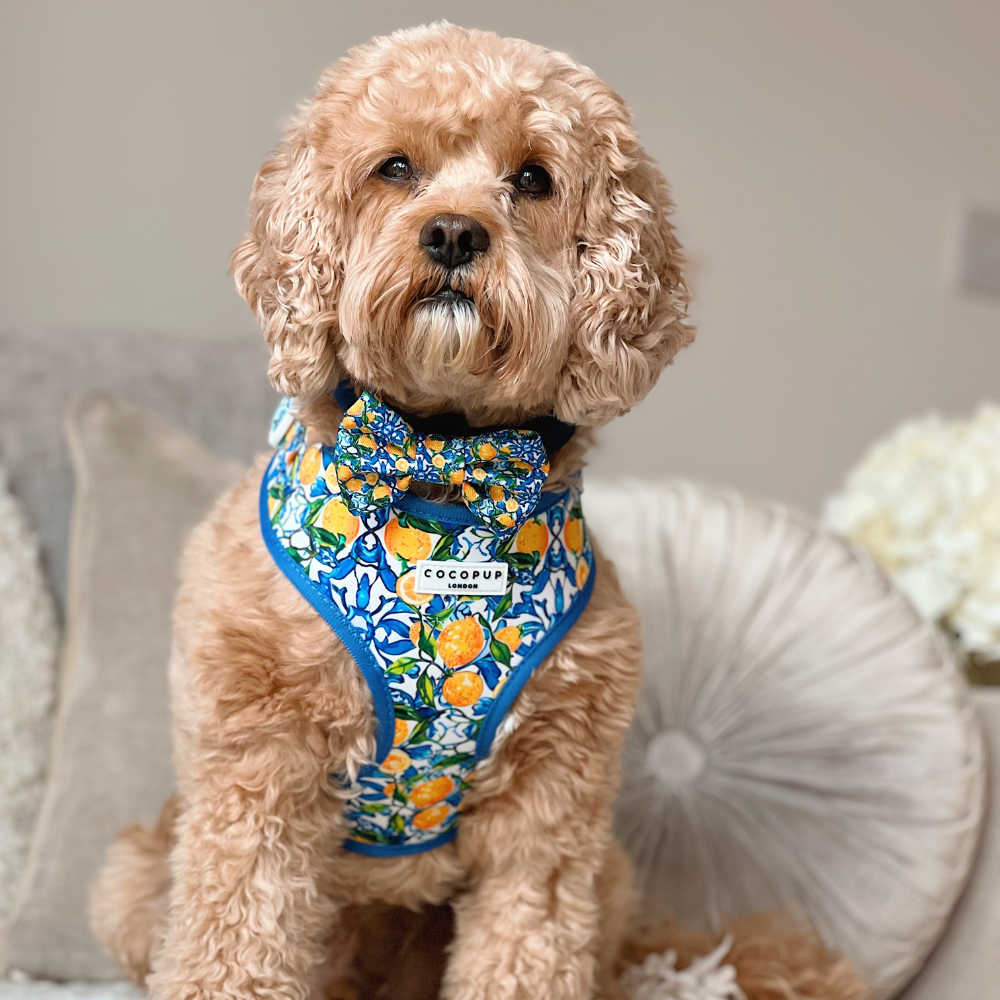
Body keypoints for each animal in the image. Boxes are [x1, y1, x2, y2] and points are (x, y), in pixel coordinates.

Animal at [90, 21, 692, 1000]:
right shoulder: (254, 773)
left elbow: (524, 952)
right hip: (135, 875)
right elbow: (232, 943)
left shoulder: (551, 812)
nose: (452, 231)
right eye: (396, 168)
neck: (438, 469)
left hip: (609, 874)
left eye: (533, 179)